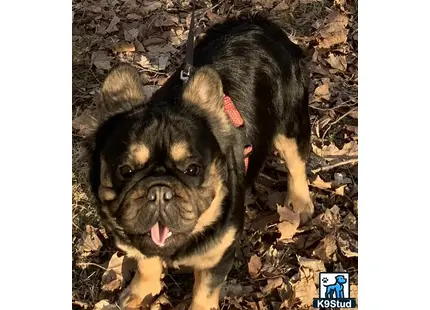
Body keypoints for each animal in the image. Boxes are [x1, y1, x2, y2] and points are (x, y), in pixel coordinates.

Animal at [87, 12, 314, 310]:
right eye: (125, 170)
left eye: (192, 169)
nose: (159, 191)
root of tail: (259, 24)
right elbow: (147, 263)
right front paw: (141, 291)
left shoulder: (217, 255)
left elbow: (204, 293)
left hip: (291, 125)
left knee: (296, 162)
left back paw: (299, 203)